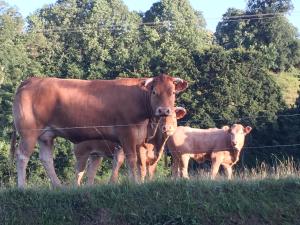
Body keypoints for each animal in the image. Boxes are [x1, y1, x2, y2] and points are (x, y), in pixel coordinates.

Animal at [11, 74, 188, 187]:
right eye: (154, 91)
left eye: (172, 92)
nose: (164, 110)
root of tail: (32, 80)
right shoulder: (127, 133)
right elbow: (131, 160)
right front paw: (135, 183)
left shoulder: (139, 140)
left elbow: (140, 164)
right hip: (29, 132)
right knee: (22, 156)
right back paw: (22, 187)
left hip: (46, 135)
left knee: (46, 159)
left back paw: (59, 186)